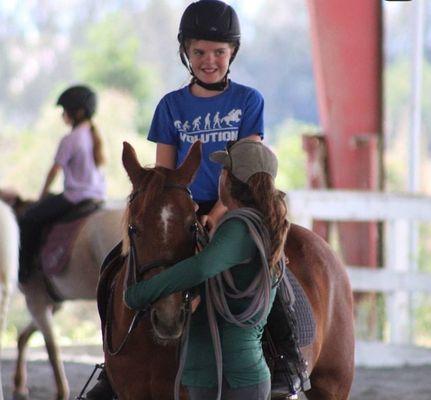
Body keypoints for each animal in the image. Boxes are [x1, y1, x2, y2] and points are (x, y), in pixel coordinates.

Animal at [0, 191, 125, 400]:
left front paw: (61, 393)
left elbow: (52, 349)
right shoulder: (52, 304)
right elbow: (25, 336)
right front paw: (19, 386)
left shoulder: (35, 300)